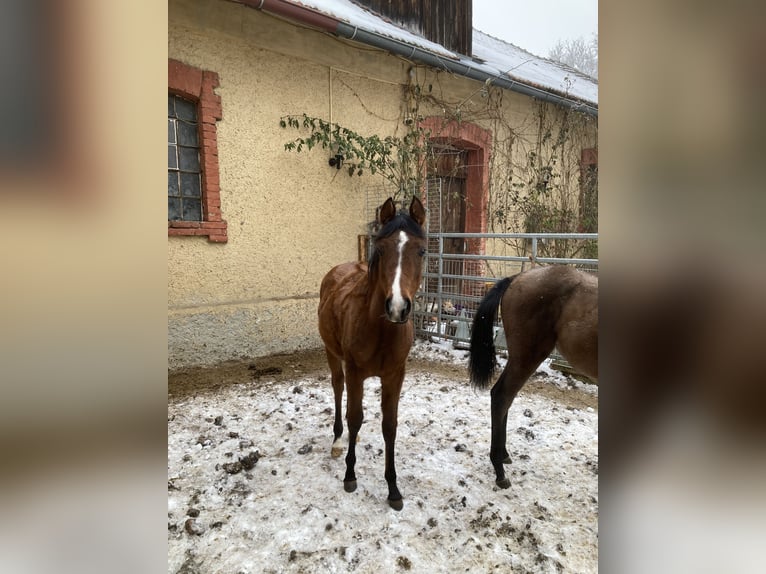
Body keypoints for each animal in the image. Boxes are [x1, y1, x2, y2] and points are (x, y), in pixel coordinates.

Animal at [317, 196, 427, 510]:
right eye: (381, 249)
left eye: (422, 250)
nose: (398, 307)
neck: (380, 329)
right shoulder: (355, 372)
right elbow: (355, 417)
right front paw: (350, 475)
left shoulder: (395, 376)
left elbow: (389, 426)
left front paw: (393, 488)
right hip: (332, 353)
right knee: (337, 388)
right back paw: (337, 441)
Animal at [468, 265, 598, 488]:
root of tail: (516, 278)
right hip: (527, 357)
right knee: (502, 396)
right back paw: (499, 470)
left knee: (504, 397)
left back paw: (503, 455)